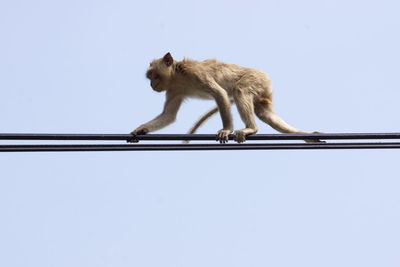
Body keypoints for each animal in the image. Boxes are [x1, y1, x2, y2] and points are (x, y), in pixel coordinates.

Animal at [130, 52, 320, 144]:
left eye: (155, 76)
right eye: (150, 77)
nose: (151, 84)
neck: (177, 76)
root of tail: (266, 78)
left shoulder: (195, 73)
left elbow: (219, 93)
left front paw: (226, 129)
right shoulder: (174, 90)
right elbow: (169, 115)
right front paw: (139, 130)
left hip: (256, 78)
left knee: (240, 90)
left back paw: (251, 128)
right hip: (262, 91)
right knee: (265, 114)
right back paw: (303, 135)